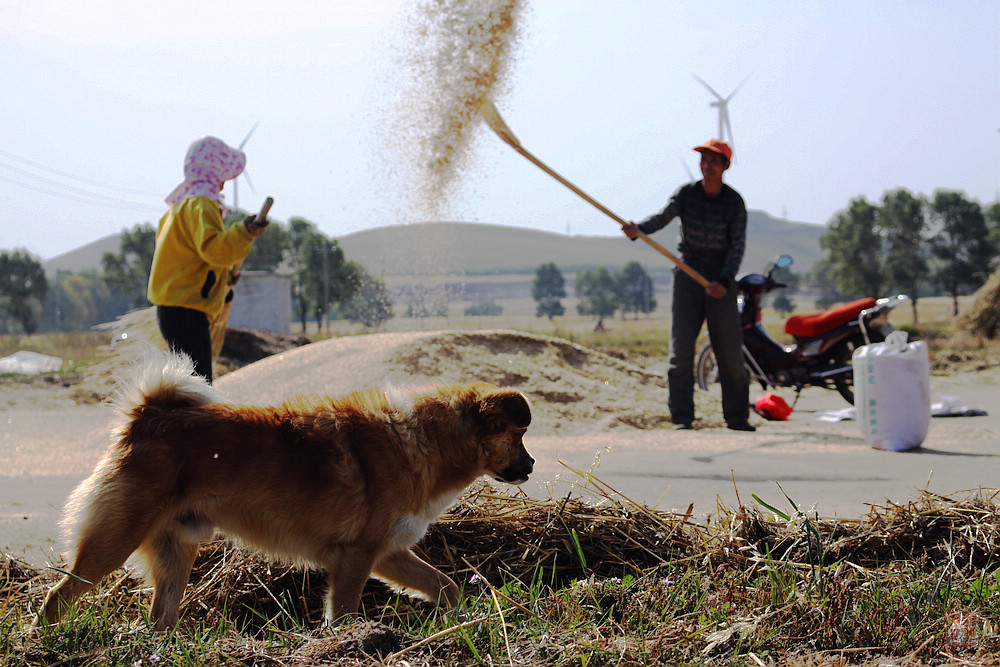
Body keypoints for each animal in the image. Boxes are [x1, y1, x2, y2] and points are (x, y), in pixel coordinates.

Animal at [43, 352, 536, 628]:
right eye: (519, 437)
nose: (531, 465)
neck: (424, 442)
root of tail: (148, 416)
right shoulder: (356, 557)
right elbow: (345, 613)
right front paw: (347, 643)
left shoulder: (387, 553)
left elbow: (446, 585)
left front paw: (459, 620)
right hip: (112, 543)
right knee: (55, 598)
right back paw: (49, 639)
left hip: (175, 553)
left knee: (159, 618)